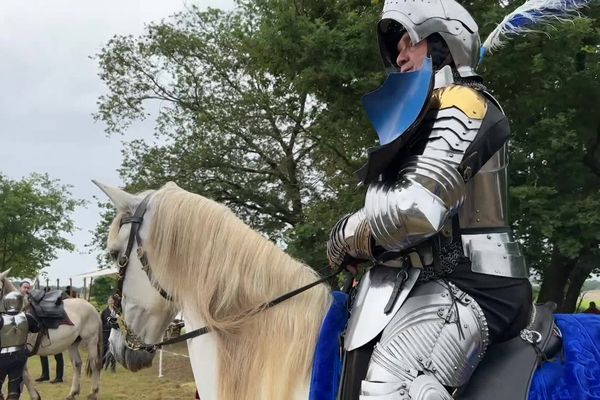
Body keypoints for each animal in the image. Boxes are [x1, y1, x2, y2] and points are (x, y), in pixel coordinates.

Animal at [0, 270, 103, 398]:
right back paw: (73, 393)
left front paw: (35, 396)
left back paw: (93, 392)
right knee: (77, 364)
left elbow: (24, 375)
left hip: (91, 340)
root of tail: (92, 308)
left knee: (95, 364)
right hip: (73, 343)